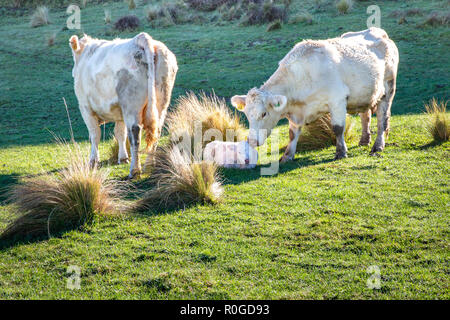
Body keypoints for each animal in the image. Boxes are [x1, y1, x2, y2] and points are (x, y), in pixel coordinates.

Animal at [68, 32, 178, 178]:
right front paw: (123, 157)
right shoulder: (120, 112)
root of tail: (140, 39)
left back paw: (134, 170)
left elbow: (95, 135)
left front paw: (93, 161)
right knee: (156, 132)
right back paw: (150, 164)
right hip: (161, 104)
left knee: (135, 133)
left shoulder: (86, 108)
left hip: (131, 106)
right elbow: (120, 133)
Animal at [230, 27, 400, 161]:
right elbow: (292, 134)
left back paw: (378, 146)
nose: (251, 141)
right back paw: (364, 140)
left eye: (264, 113)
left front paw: (341, 152)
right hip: (366, 95)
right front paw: (287, 156)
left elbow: (338, 128)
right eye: (247, 115)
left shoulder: (337, 100)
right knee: (366, 116)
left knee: (383, 119)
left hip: (388, 89)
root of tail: (379, 32)